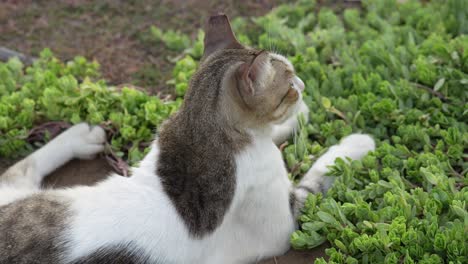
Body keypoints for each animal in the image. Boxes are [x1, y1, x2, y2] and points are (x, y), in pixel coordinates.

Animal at [0, 14, 372, 264]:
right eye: (290, 83)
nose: (304, 88)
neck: (201, 135)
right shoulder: (284, 224)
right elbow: (319, 174)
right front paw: (357, 142)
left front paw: (302, 115)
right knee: (15, 171)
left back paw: (81, 133)